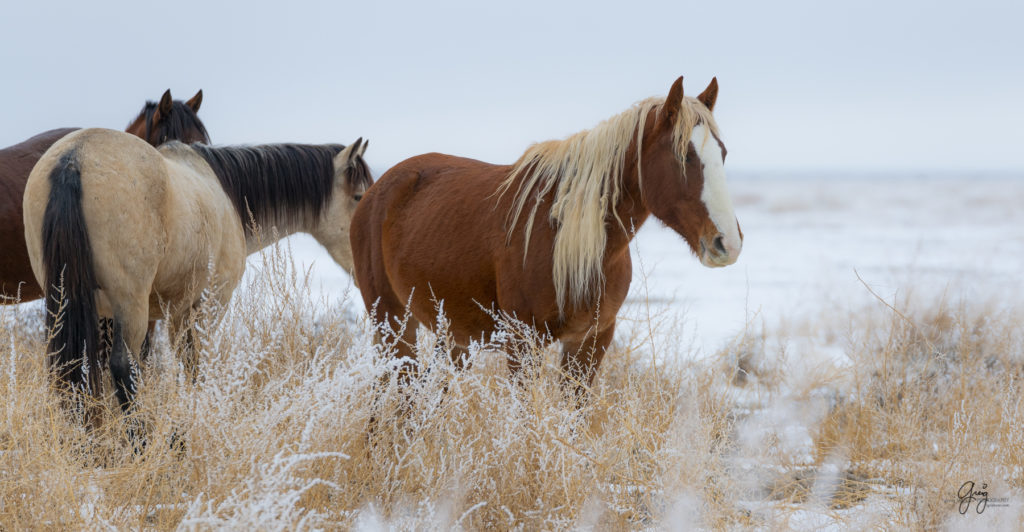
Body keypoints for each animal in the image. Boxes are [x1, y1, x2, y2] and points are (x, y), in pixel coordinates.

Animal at [24, 128, 372, 419]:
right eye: (358, 197)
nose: (362, 270)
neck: (223, 190)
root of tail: (73, 160)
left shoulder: (169, 312)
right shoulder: (205, 305)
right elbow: (194, 366)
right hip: (130, 305)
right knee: (123, 367)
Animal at [352, 75, 745, 390]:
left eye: (723, 154)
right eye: (684, 157)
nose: (728, 243)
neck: (571, 238)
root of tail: (377, 190)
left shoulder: (590, 341)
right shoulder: (522, 343)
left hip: (452, 337)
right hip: (391, 323)